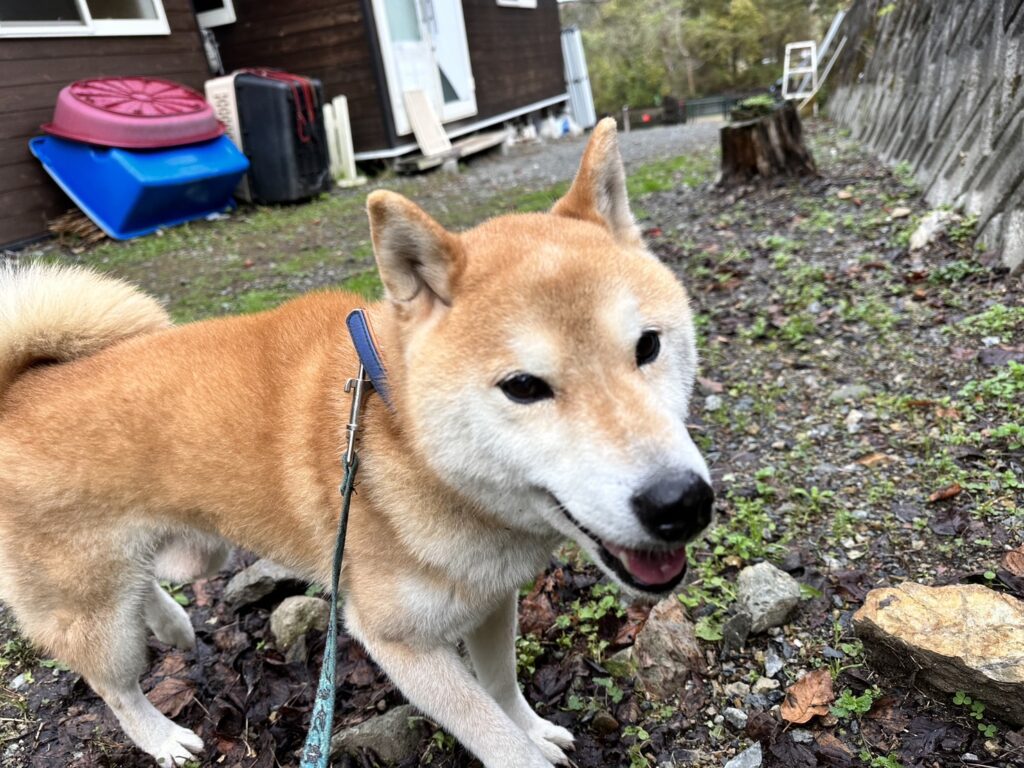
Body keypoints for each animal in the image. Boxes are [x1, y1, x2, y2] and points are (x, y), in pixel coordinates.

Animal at [0, 119, 713, 767]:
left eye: (648, 346)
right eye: (524, 387)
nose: (681, 502)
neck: (396, 429)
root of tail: (17, 392)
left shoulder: (492, 597)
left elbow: (504, 688)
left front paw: (534, 726)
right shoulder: (399, 643)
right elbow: (498, 740)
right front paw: (524, 745)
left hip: (191, 556)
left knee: (144, 586)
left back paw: (171, 622)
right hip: (94, 614)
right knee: (114, 687)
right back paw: (162, 737)